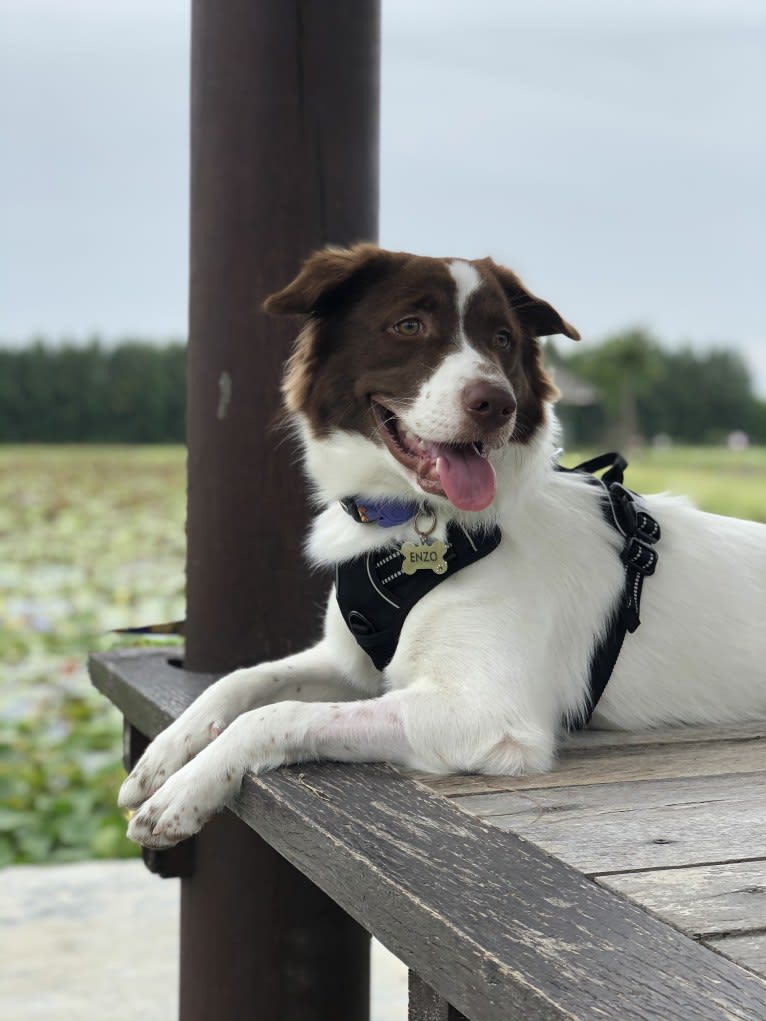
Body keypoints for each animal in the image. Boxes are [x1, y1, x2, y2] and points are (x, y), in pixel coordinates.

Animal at [121, 245, 766, 845]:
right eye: (409, 325)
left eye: (503, 338)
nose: (497, 404)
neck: (411, 523)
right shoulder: (352, 666)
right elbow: (243, 681)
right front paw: (161, 759)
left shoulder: (486, 717)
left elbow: (277, 714)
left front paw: (185, 792)